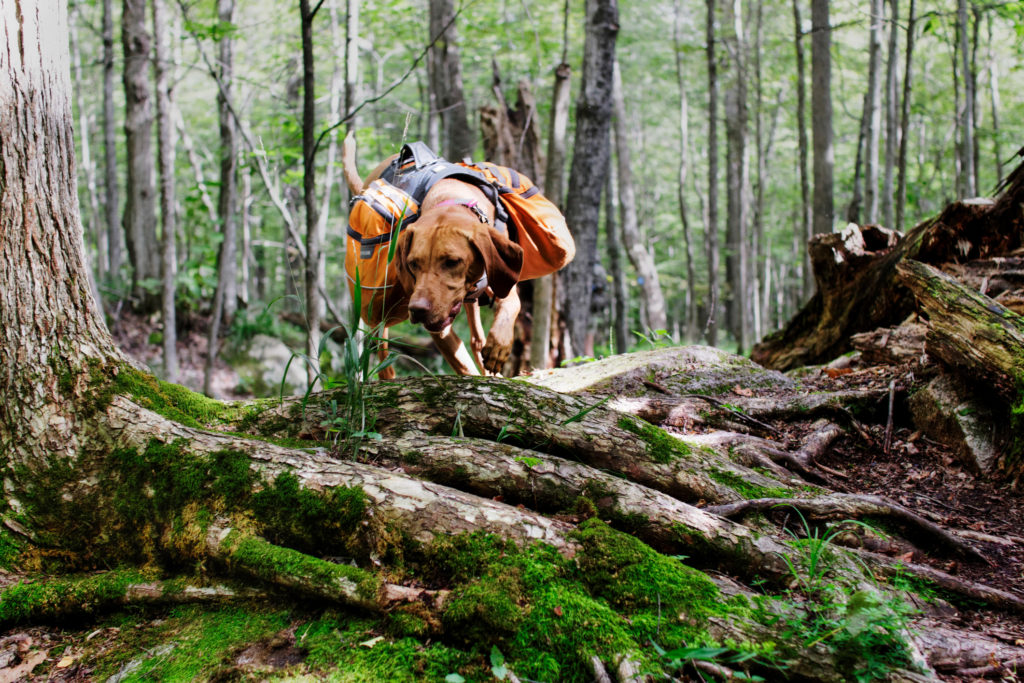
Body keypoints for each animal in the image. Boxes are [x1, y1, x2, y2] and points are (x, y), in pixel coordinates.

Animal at [344, 133, 524, 378]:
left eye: (452, 262)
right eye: (413, 264)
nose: (417, 310)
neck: (451, 197)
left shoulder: (499, 274)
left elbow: (511, 303)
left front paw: (498, 346)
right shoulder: (439, 325)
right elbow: (464, 365)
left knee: (476, 337)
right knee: (380, 340)